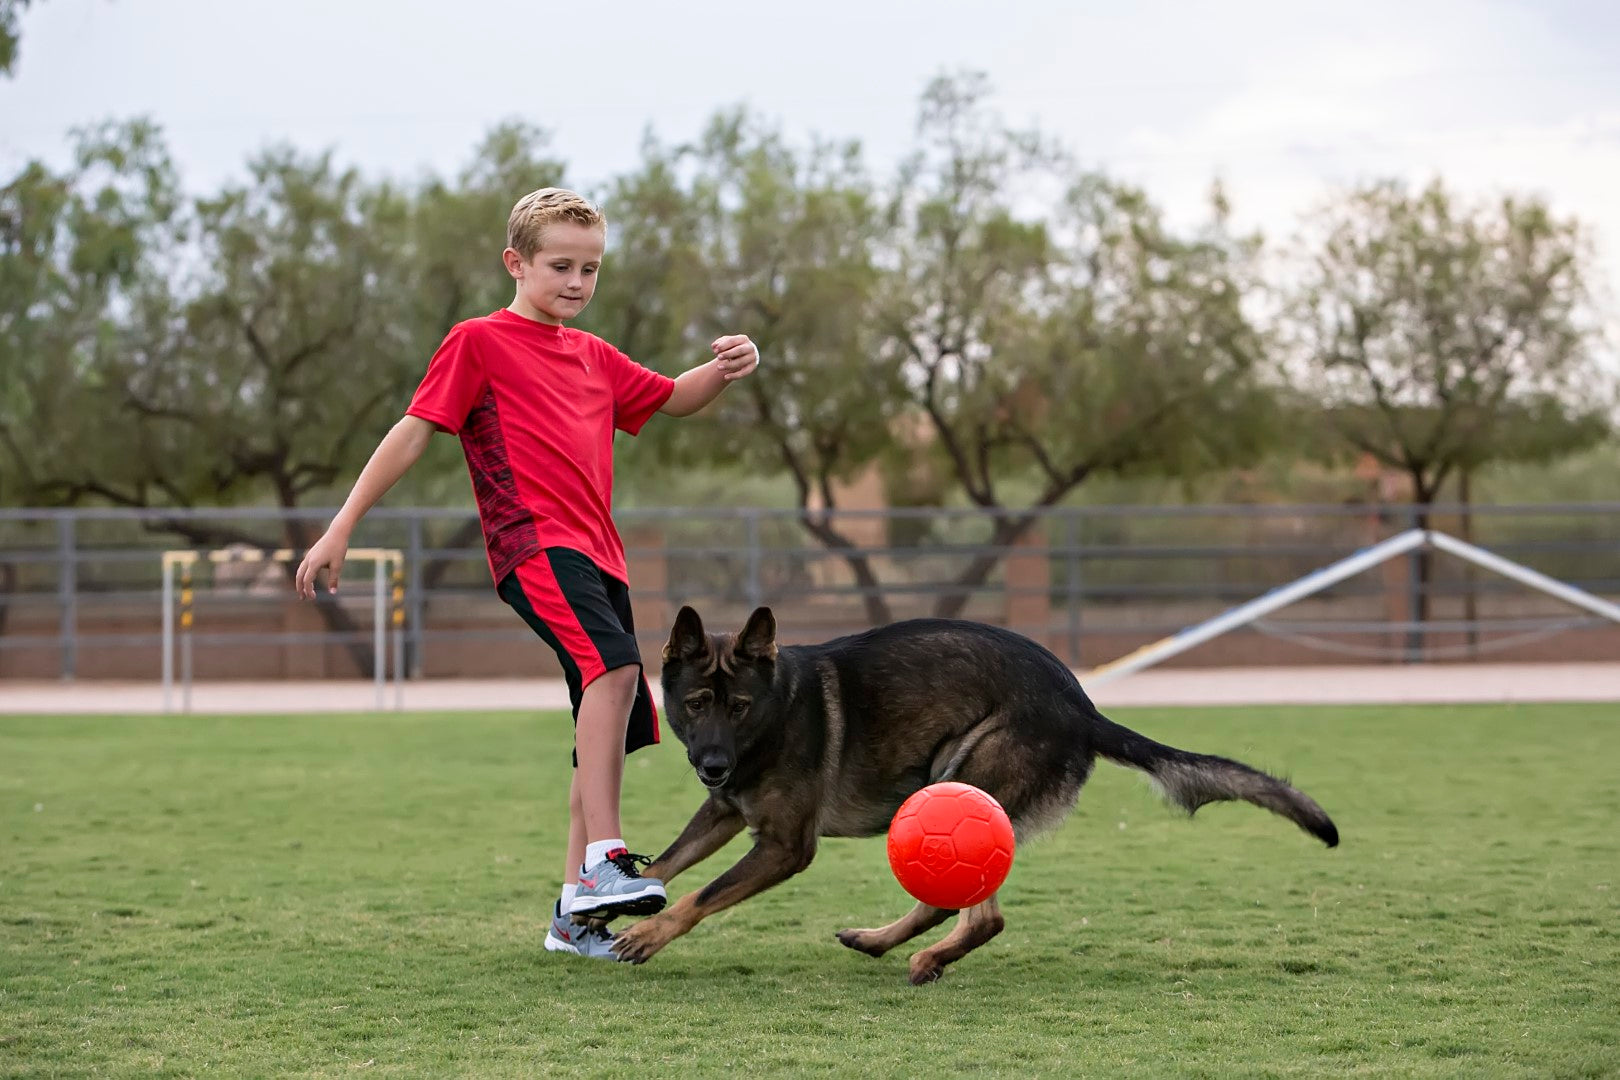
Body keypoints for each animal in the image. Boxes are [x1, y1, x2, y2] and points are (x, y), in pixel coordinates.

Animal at [612, 605, 1334, 984]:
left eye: (738, 708)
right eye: (695, 704)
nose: (712, 763)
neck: (778, 711)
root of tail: (1082, 706)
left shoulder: (785, 847)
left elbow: (701, 896)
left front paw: (648, 933)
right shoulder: (723, 812)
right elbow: (668, 864)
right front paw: (610, 904)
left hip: (958, 785)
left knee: (980, 916)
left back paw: (922, 955)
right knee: (954, 907)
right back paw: (881, 942)